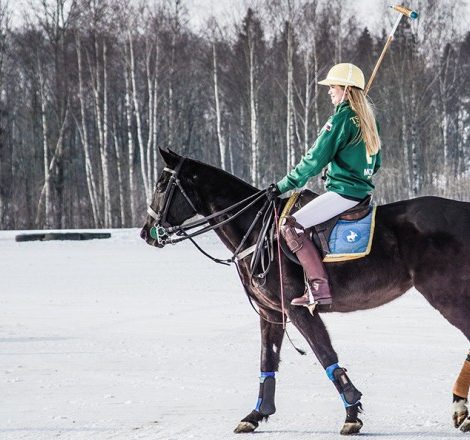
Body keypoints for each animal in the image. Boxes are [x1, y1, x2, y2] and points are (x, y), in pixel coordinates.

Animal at [140, 150, 470, 434]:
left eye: (161, 185)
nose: (146, 232)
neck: (256, 230)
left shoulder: (297, 307)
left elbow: (325, 354)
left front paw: (352, 414)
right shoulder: (270, 312)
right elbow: (267, 359)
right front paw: (256, 414)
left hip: (446, 294)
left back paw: (459, 408)